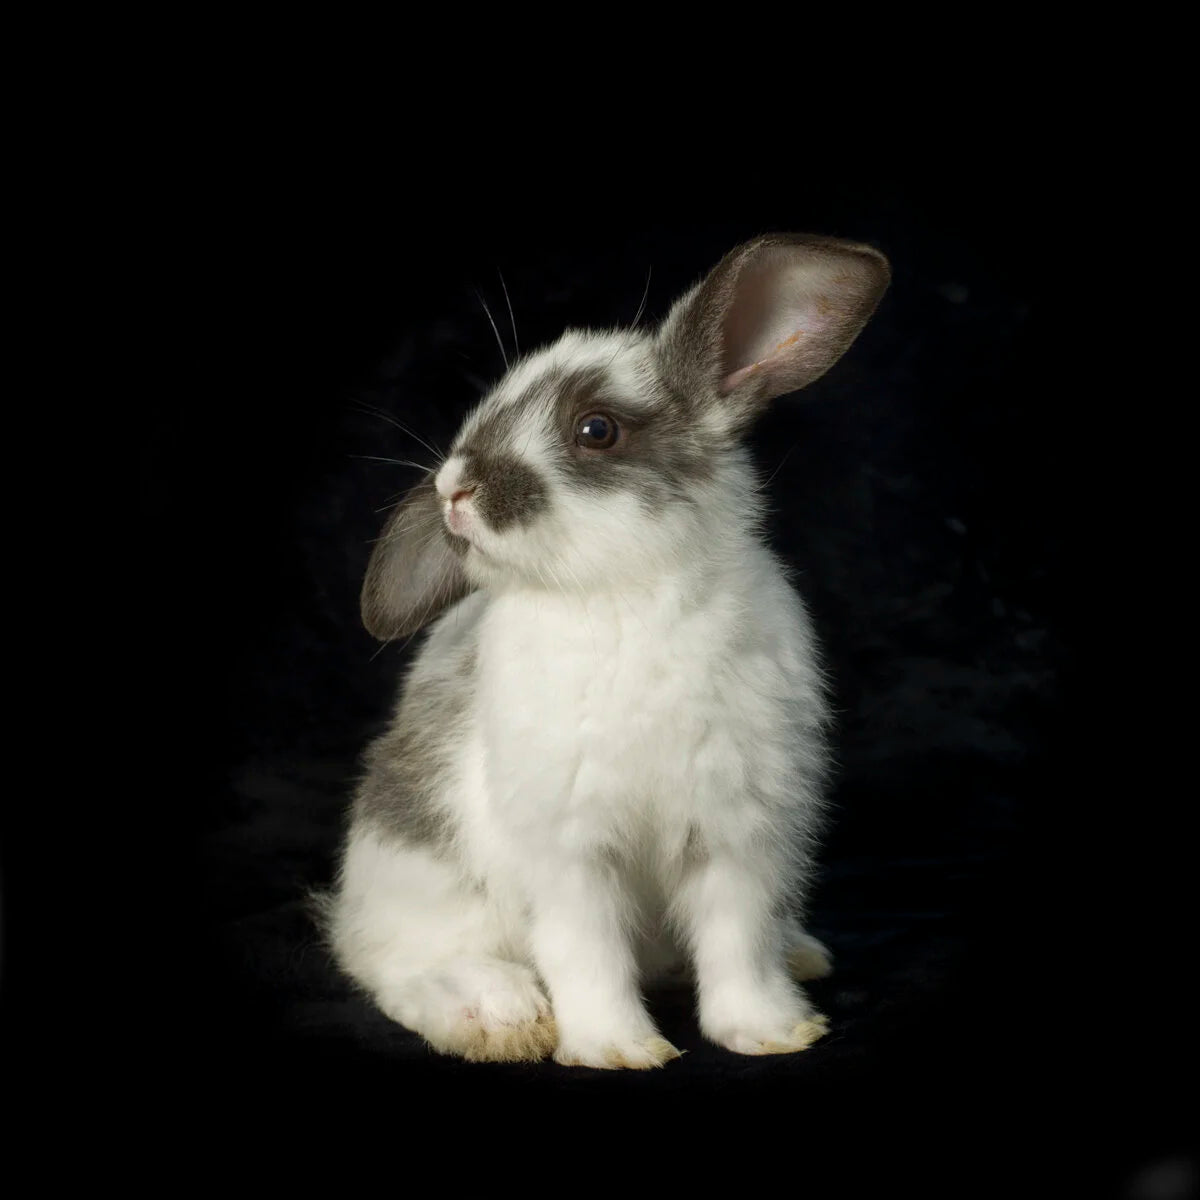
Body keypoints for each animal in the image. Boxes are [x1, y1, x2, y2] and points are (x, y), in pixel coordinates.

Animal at [321, 233, 890, 1068]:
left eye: (597, 430)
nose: (455, 489)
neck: (625, 595)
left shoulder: (736, 835)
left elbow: (739, 946)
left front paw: (771, 1032)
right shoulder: (570, 853)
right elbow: (585, 953)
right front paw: (616, 1049)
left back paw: (801, 953)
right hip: (420, 884)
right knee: (395, 966)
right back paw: (499, 1017)